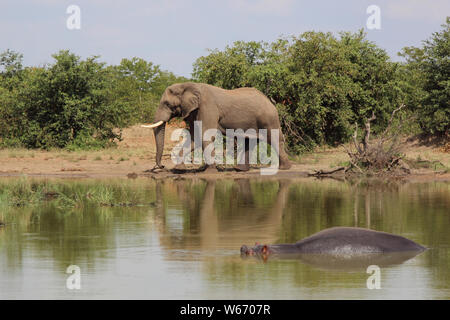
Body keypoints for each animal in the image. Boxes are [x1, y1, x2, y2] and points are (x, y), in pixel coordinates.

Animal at [144, 83, 292, 172]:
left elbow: (205, 135)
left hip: (269, 117)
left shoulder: (207, 107)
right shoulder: (193, 111)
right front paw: (180, 170)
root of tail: (270, 101)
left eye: (167, 104)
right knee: (249, 141)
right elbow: (194, 137)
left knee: (274, 139)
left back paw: (285, 168)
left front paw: (209, 172)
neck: (188, 85)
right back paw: (240, 170)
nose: (161, 166)